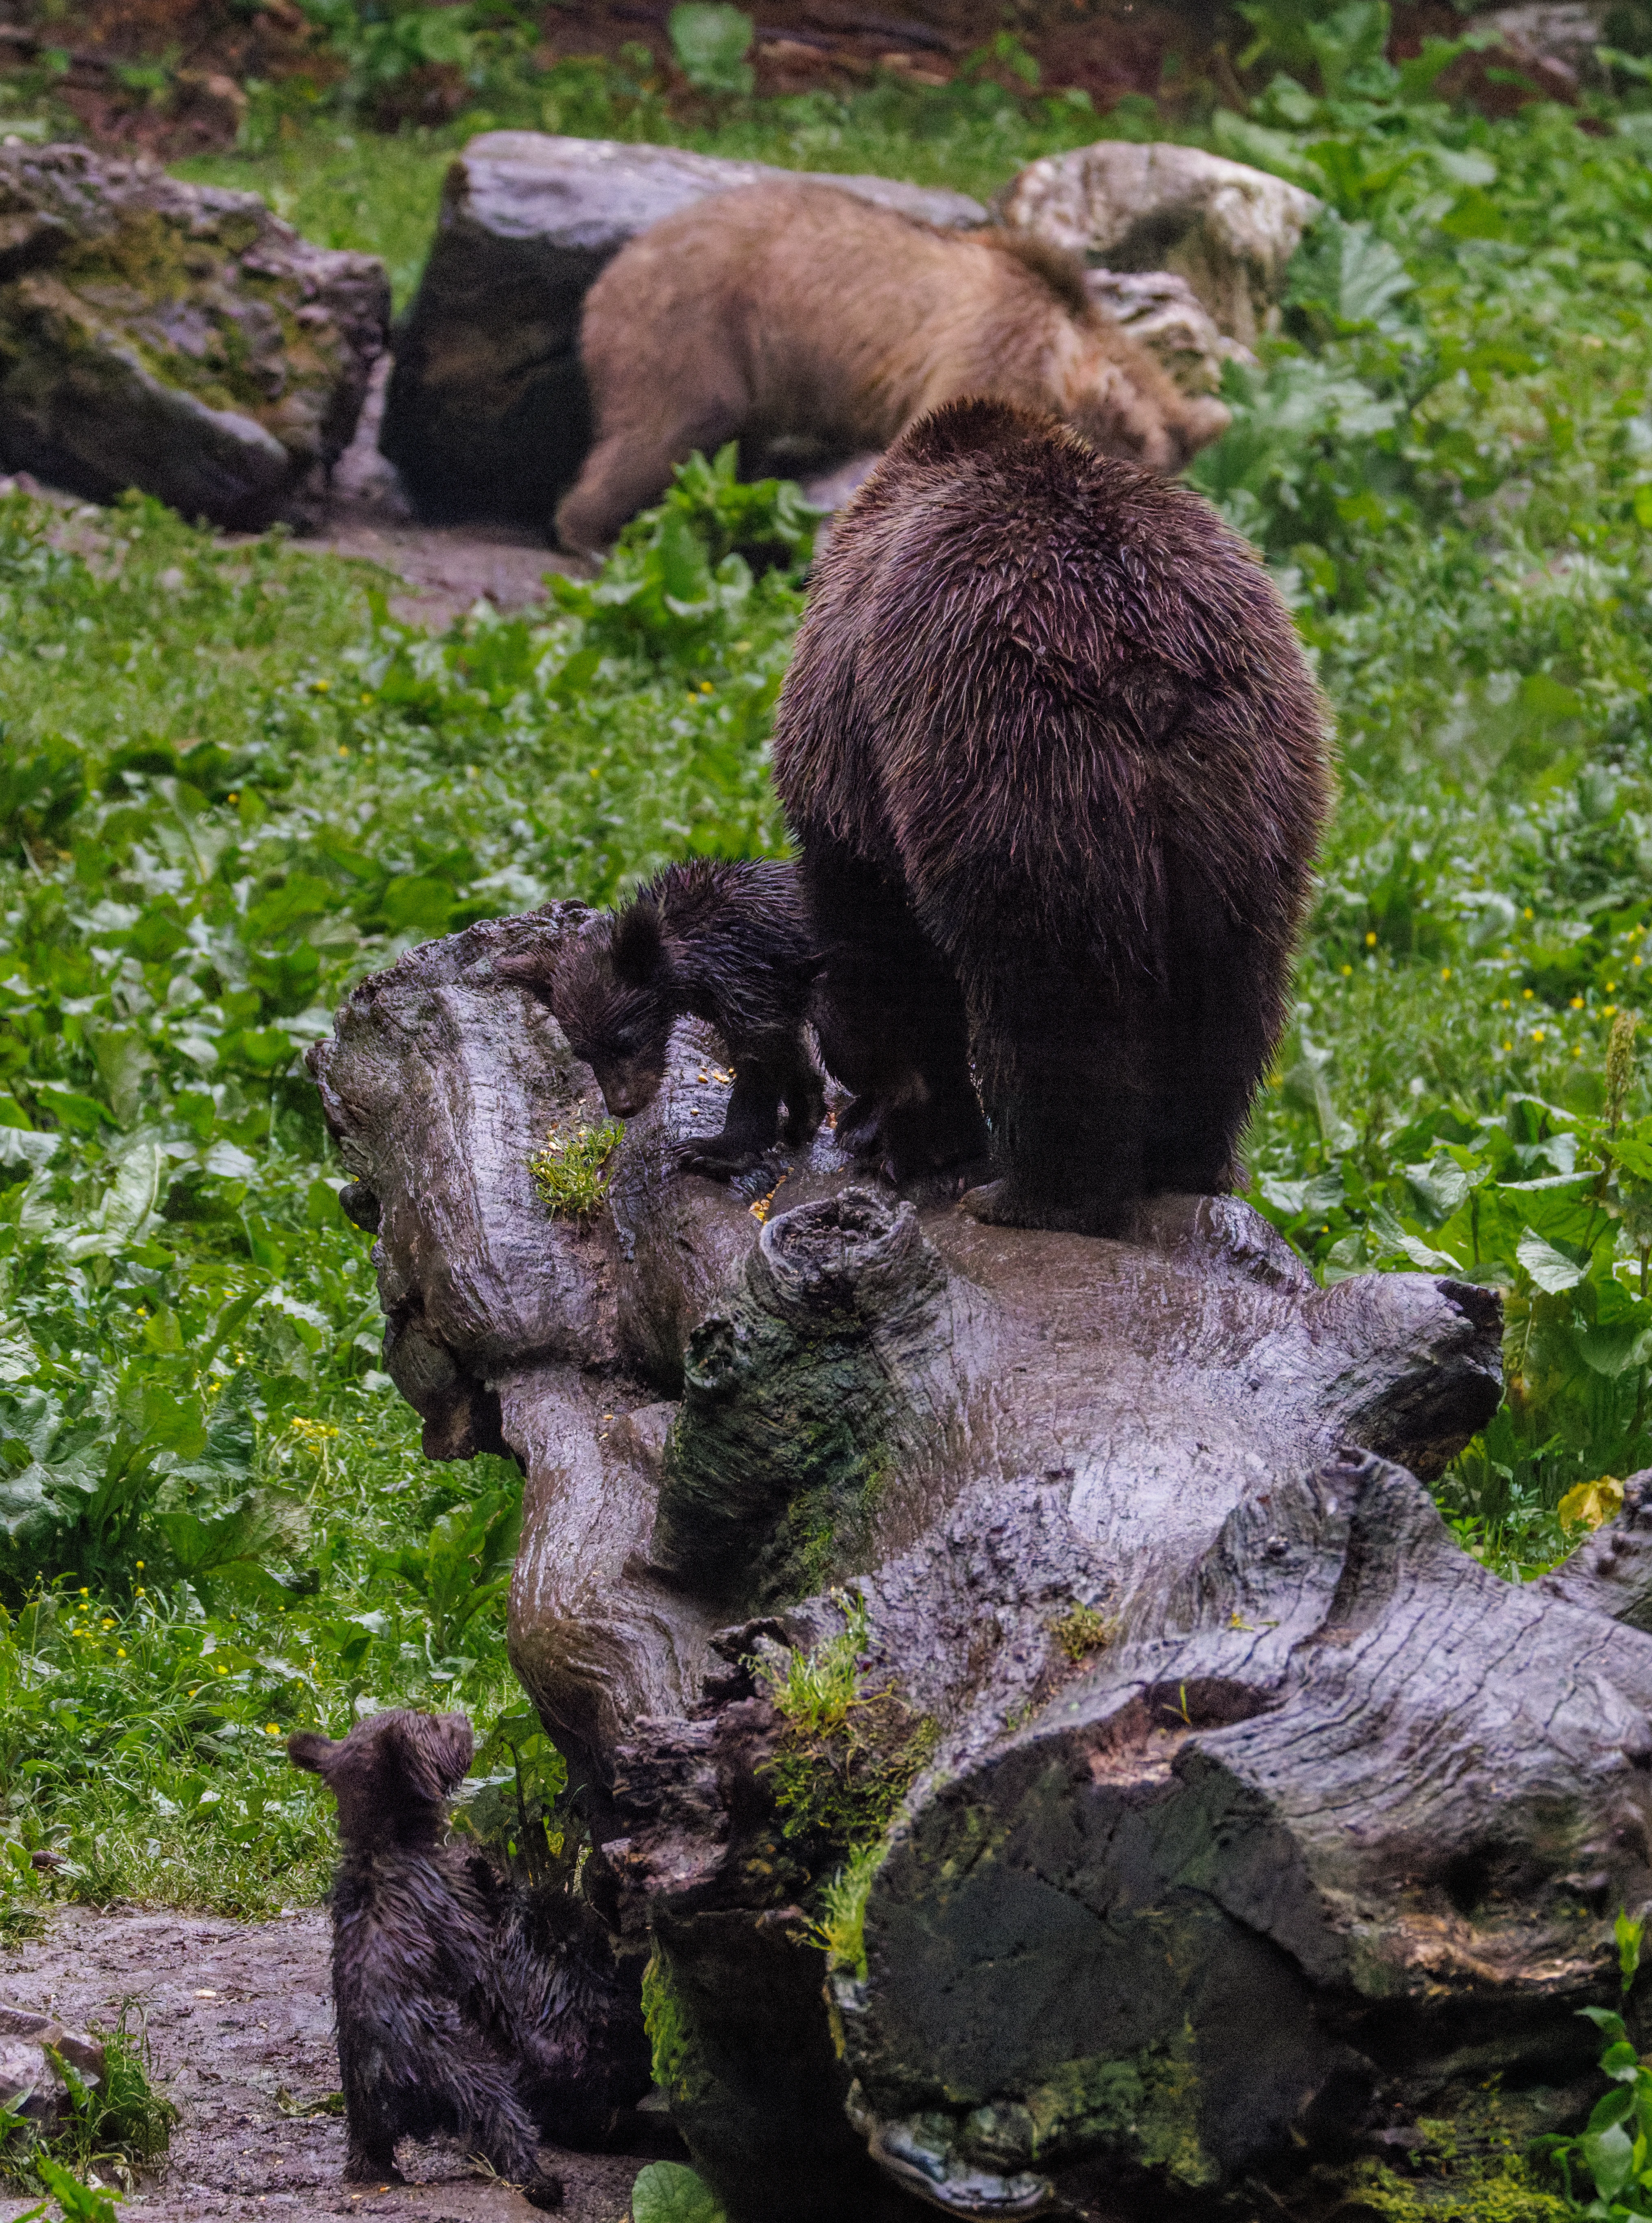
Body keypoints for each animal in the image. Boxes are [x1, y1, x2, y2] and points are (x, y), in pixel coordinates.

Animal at [290, 1711, 569, 2206]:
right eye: (429, 1722)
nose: (462, 1716)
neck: (386, 1843)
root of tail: (390, 2078)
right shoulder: (462, 1929)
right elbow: (498, 1996)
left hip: (363, 2121)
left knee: (368, 2154)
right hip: (472, 2078)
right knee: (505, 2122)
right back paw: (540, 2182)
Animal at [496, 858, 825, 1178]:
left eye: (627, 1038)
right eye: (583, 1054)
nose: (623, 1106)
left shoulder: (750, 981)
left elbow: (760, 1064)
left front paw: (715, 1150)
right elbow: (791, 1050)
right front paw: (804, 1118)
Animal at [768, 395, 1332, 1236]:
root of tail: (1144, 669)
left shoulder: (855, 759)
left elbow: (883, 946)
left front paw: (909, 1127)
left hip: (1018, 764)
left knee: (1050, 990)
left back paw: (1032, 1194)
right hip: (1251, 785)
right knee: (1232, 979)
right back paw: (1190, 1160)